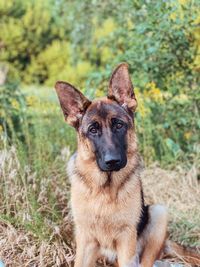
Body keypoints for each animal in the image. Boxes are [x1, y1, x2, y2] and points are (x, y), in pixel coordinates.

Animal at [54, 63, 200, 266]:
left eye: (119, 125)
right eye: (93, 130)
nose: (112, 161)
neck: (105, 190)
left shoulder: (126, 240)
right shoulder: (86, 240)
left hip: (159, 213)